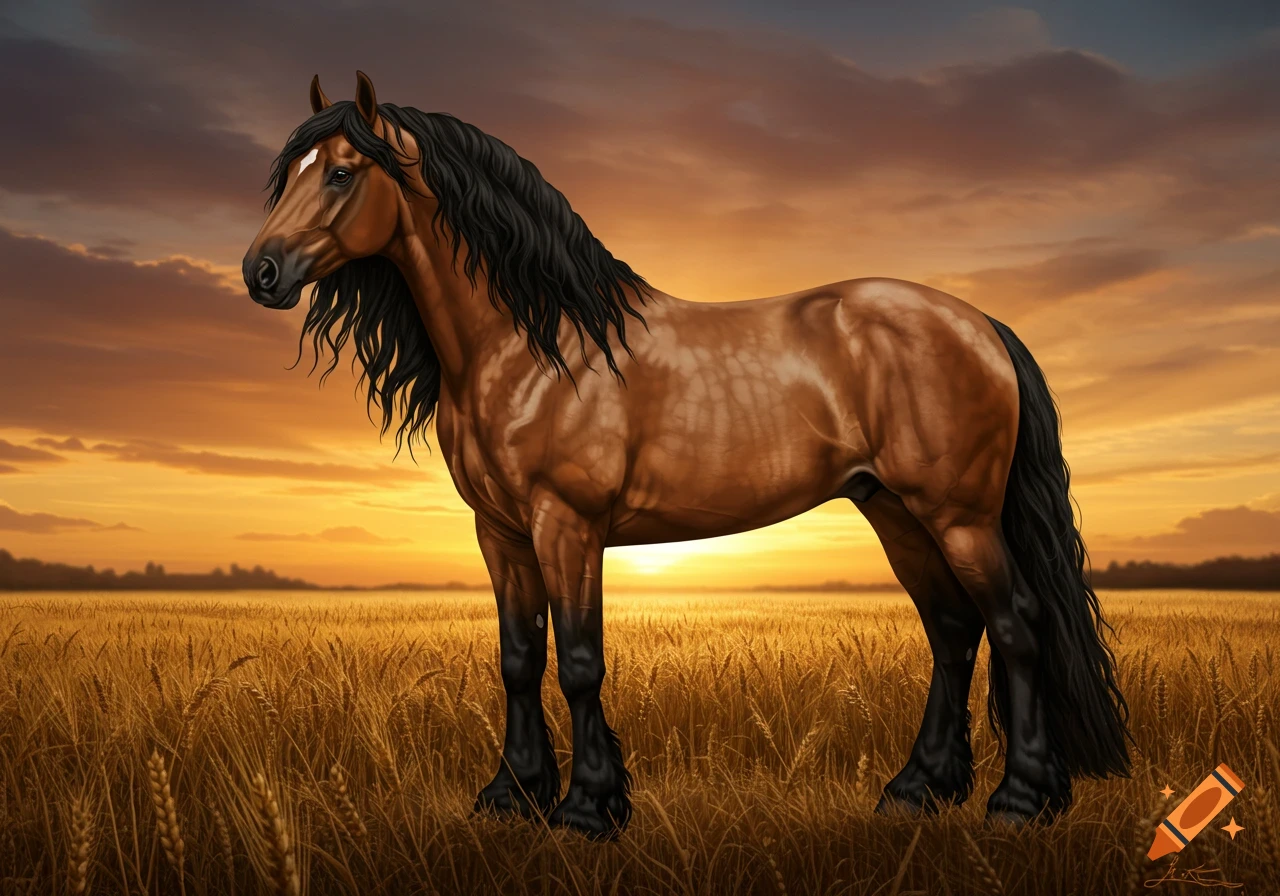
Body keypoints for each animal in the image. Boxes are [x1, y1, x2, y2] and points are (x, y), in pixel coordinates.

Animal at [243, 71, 1131, 840]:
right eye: (291, 175)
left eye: (343, 174)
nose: (262, 272)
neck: (534, 345)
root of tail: (981, 325)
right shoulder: (499, 532)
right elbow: (519, 658)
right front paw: (512, 796)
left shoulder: (567, 525)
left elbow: (579, 662)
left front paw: (588, 809)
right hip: (896, 513)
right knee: (952, 629)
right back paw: (917, 789)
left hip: (960, 516)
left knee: (1015, 625)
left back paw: (1021, 801)